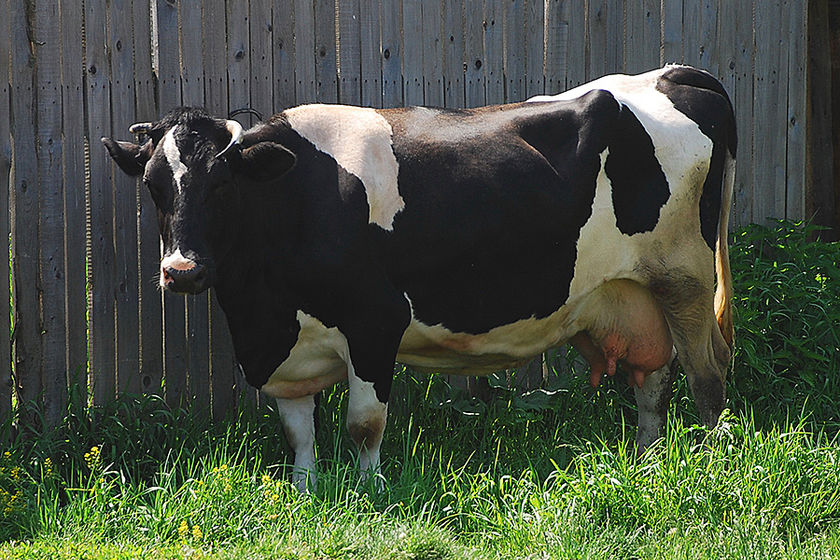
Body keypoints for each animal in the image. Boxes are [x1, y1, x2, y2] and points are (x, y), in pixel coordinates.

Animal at [102, 65, 736, 491]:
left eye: (223, 186)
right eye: (154, 186)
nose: (181, 270)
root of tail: (673, 74)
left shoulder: (374, 321)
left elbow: (364, 423)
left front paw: (369, 490)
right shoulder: (284, 348)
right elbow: (298, 431)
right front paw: (305, 492)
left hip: (686, 277)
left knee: (707, 373)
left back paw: (710, 466)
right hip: (637, 293)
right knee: (653, 377)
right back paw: (648, 462)